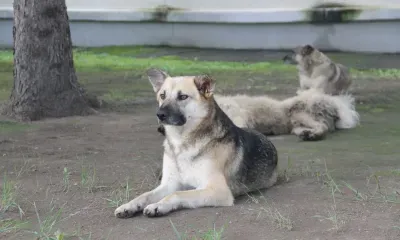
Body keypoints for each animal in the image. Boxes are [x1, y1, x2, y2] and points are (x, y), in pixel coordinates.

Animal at [115, 69, 278, 218]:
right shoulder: (169, 184)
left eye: (183, 97)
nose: (159, 115)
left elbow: (177, 194)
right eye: (162, 95)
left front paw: (158, 206)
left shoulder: (218, 190)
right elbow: (145, 195)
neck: (181, 143)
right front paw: (128, 206)